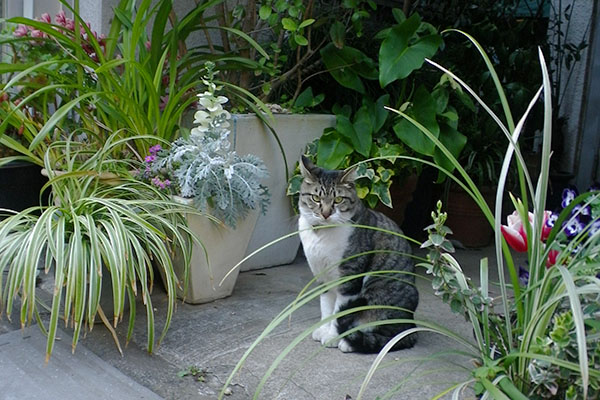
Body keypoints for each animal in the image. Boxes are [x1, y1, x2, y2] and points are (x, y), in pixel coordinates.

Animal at [296, 156, 418, 354]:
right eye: (316, 198)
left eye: (338, 199)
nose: (325, 213)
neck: (322, 235)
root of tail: (411, 322)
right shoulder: (322, 277)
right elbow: (326, 307)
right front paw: (323, 330)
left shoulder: (350, 278)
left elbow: (338, 311)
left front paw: (332, 337)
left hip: (380, 295)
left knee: (392, 336)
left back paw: (349, 342)